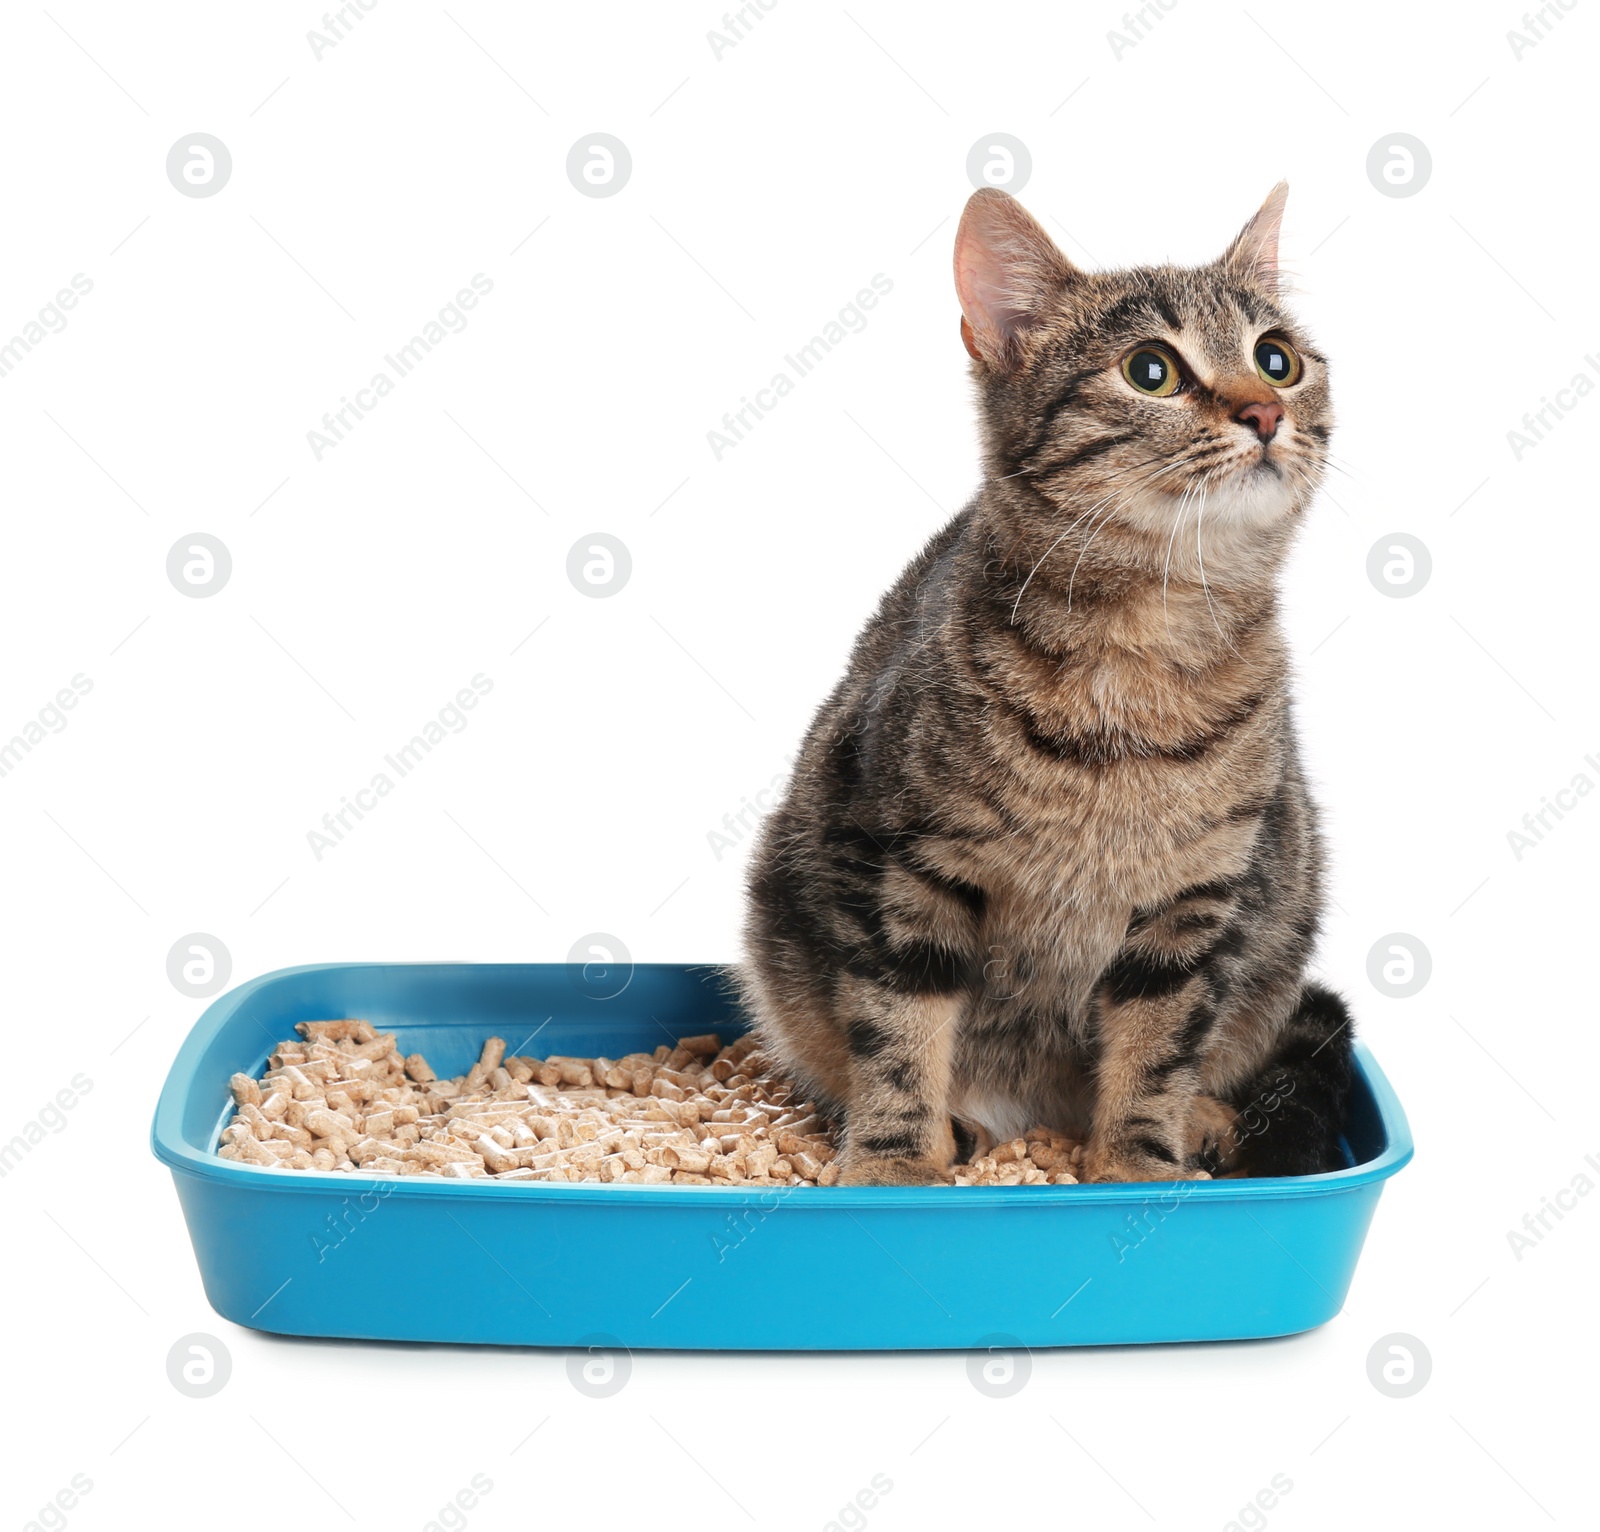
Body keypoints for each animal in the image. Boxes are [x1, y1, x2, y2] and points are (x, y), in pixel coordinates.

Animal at [736, 179, 1350, 1189]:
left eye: (1278, 358)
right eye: (1151, 371)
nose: (1266, 411)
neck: (1144, 641)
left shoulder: (1194, 901)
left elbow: (1158, 1045)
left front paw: (1139, 1162)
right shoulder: (902, 860)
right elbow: (899, 1028)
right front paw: (894, 1160)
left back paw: (1205, 1120)